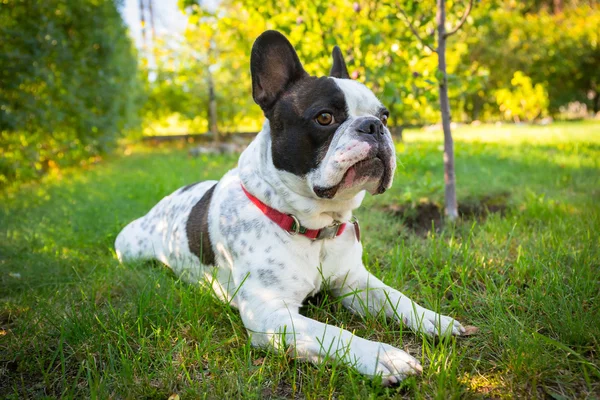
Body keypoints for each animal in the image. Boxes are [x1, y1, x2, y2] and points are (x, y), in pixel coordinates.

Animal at [116, 29, 464, 386]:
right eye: (324, 117)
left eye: (384, 116)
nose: (373, 126)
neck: (315, 223)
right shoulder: (271, 314)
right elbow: (333, 334)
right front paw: (384, 356)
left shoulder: (354, 282)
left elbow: (395, 297)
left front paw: (432, 318)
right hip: (127, 249)